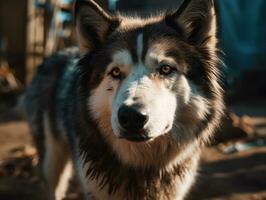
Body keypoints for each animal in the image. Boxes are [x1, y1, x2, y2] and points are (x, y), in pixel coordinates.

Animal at [25, 0, 224, 199]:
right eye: (115, 72)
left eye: (166, 69)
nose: (132, 116)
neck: (141, 170)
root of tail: (59, 53)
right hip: (52, 161)